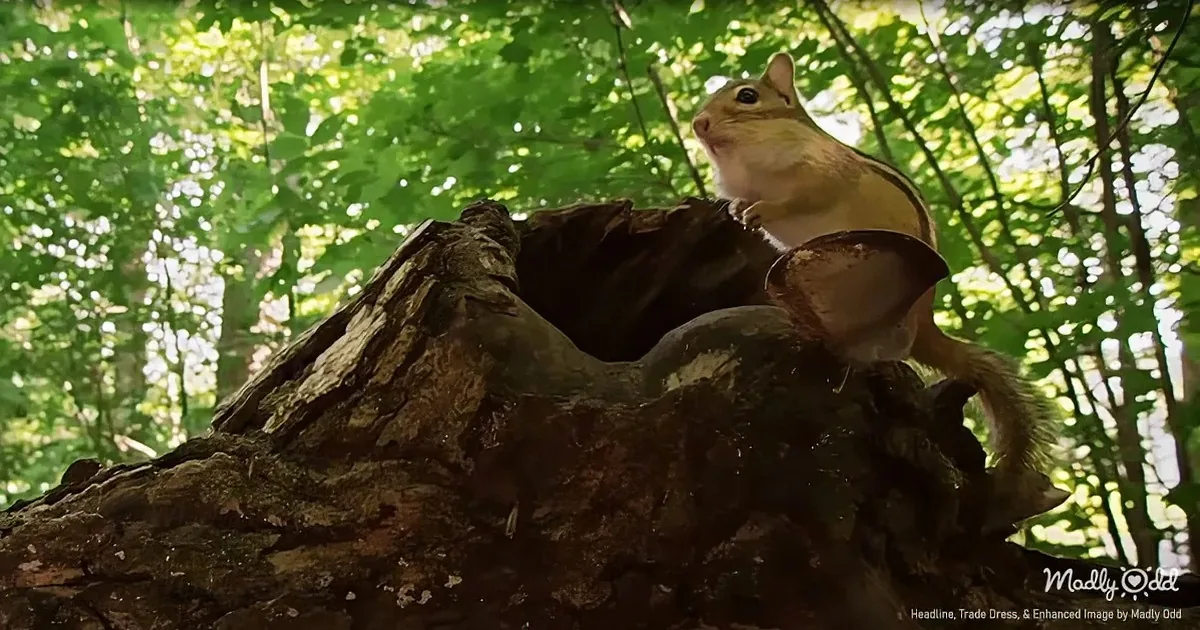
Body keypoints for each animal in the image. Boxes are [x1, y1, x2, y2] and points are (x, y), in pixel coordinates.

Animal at [690, 51, 1069, 531]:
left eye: (747, 96)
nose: (699, 123)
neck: (747, 156)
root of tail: (925, 320)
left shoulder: (818, 177)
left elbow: (796, 201)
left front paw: (760, 209)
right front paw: (738, 208)